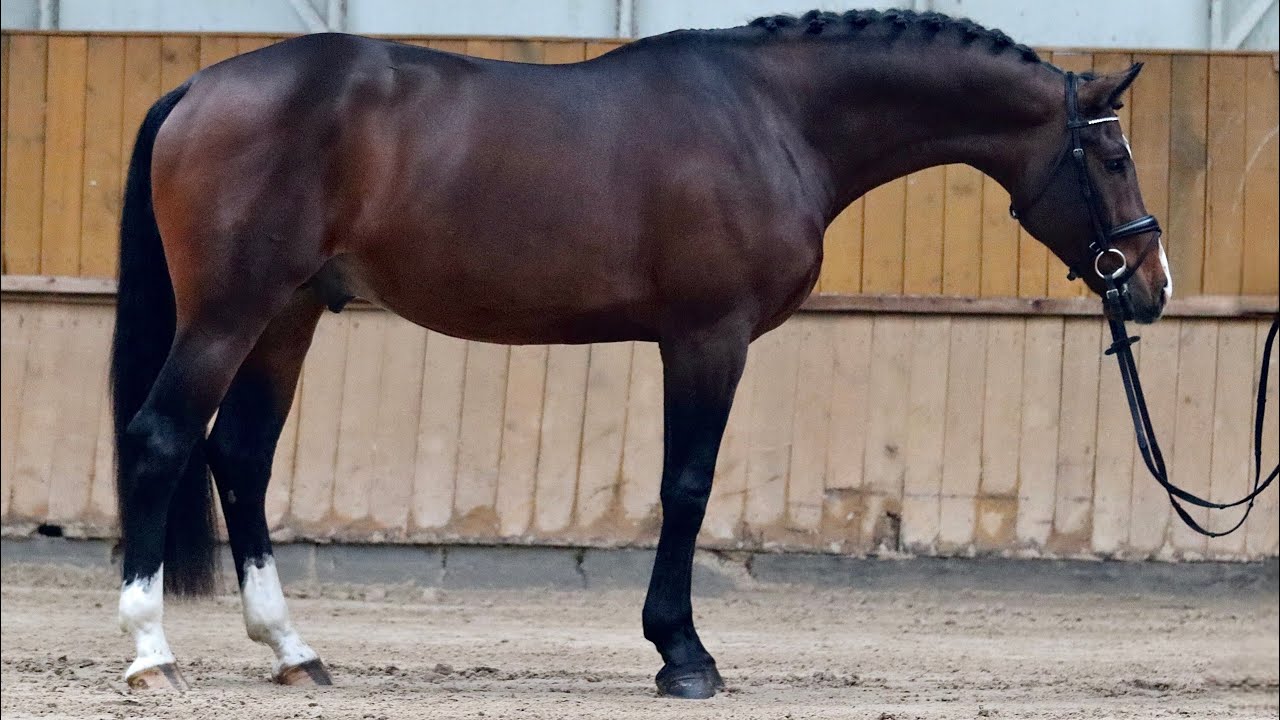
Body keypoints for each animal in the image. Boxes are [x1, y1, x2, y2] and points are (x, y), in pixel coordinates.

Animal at [110, 8, 1170, 699]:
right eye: (1113, 158)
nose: (1151, 285)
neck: (773, 118)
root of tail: (201, 85)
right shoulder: (707, 337)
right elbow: (686, 487)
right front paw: (684, 656)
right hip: (232, 310)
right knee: (162, 438)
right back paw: (152, 653)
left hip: (290, 313)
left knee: (240, 455)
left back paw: (293, 651)